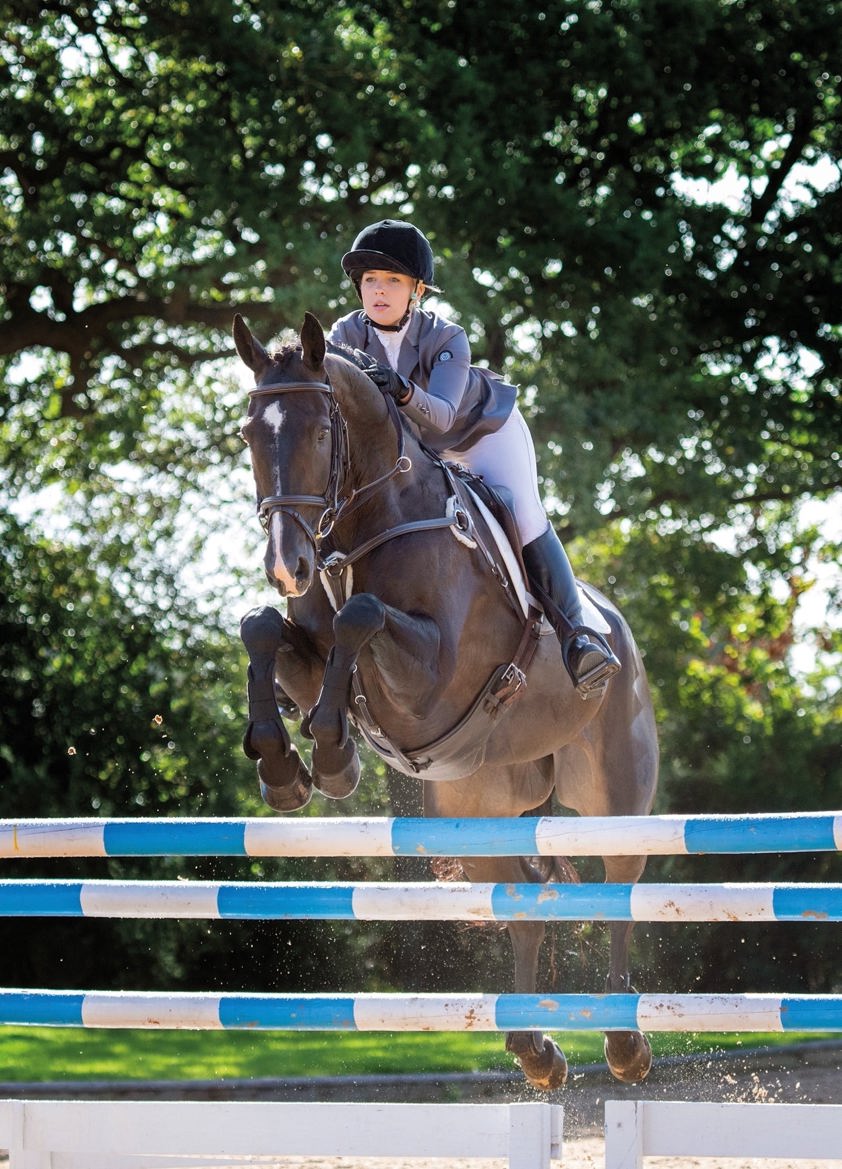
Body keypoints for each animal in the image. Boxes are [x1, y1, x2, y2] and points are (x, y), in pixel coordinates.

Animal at [233, 310, 659, 1084]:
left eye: (319, 434)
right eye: (251, 434)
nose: (287, 566)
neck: (362, 526)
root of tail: (617, 624)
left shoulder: (431, 682)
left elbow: (361, 615)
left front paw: (334, 755)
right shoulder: (312, 648)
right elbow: (263, 626)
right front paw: (286, 768)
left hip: (614, 792)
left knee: (619, 884)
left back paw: (623, 1042)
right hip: (481, 807)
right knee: (518, 897)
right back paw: (535, 1049)